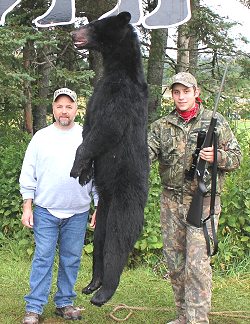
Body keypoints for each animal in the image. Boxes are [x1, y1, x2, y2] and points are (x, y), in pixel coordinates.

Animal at [70, 12, 148, 306]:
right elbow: (88, 127)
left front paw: (76, 165)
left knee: (118, 237)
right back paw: (93, 282)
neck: (118, 69)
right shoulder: (97, 94)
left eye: (93, 25)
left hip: (127, 191)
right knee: (100, 238)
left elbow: (105, 128)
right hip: (104, 203)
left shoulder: (121, 95)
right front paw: (84, 172)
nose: (72, 34)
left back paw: (104, 292)